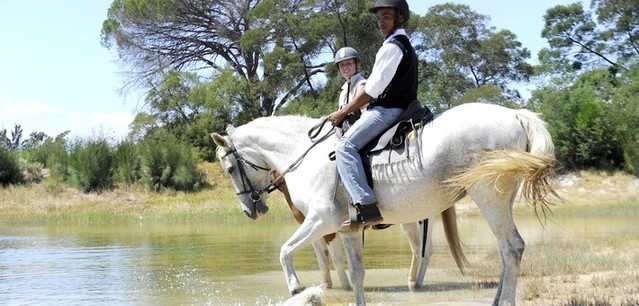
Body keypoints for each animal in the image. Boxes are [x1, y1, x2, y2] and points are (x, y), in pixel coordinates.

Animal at [212, 103, 556, 306]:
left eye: (229, 168)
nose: (251, 210)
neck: (304, 154)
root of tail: (514, 114)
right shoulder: (347, 230)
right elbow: (356, 274)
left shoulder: (321, 221)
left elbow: (285, 251)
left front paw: (297, 288)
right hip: (495, 200)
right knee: (504, 251)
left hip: (486, 196)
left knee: (511, 247)